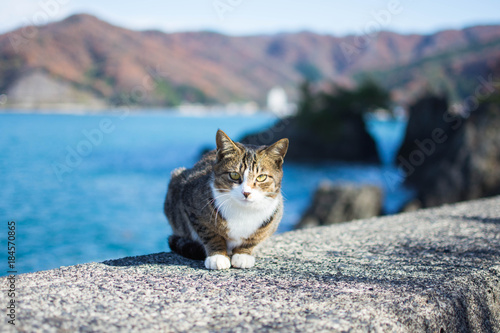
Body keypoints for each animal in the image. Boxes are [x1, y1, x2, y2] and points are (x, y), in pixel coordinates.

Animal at [165, 128, 290, 268]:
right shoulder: (191, 204)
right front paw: (217, 255)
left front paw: (243, 254)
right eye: (234, 175)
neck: (242, 211)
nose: (246, 192)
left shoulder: (274, 214)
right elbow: (210, 233)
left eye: (261, 177)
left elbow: (255, 236)